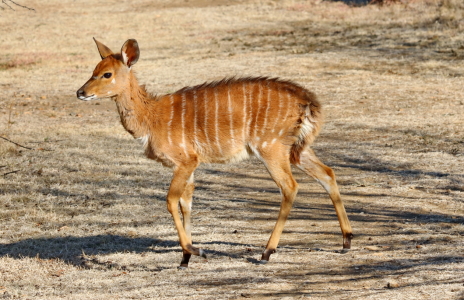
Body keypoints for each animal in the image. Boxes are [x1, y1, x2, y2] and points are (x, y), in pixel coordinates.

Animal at [76, 38, 354, 270]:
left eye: (107, 74)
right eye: (93, 69)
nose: (80, 92)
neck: (152, 118)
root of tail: (308, 101)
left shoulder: (186, 161)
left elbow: (171, 201)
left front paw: (196, 251)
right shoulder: (189, 166)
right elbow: (186, 204)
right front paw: (185, 259)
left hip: (271, 147)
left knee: (290, 186)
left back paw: (266, 252)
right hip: (297, 149)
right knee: (327, 173)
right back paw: (346, 241)